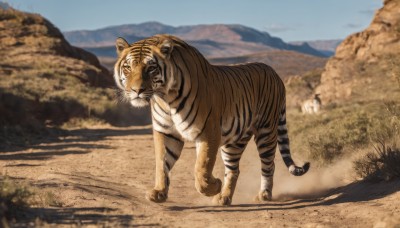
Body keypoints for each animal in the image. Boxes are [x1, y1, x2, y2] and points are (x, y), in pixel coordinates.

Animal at [112, 34, 310, 207]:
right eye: (128, 68)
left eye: (151, 68)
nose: (136, 90)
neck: (165, 98)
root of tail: (274, 73)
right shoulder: (166, 132)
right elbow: (162, 163)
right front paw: (159, 193)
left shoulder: (208, 132)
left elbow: (201, 168)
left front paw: (213, 186)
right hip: (235, 141)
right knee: (234, 169)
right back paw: (224, 198)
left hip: (266, 132)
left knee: (269, 165)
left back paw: (263, 195)